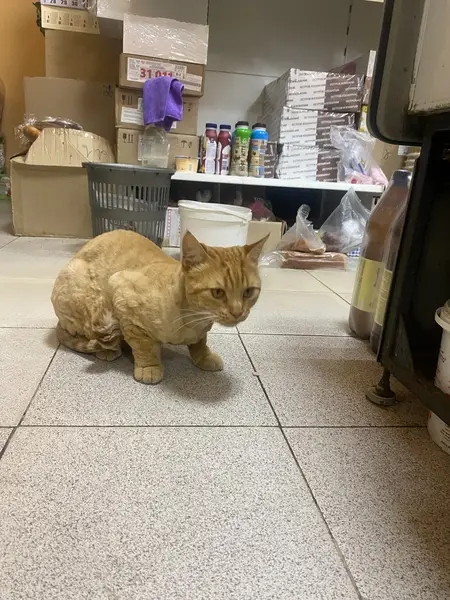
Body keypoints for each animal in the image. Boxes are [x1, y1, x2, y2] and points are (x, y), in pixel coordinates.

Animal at [51, 229, 267, 384]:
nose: (238, 312)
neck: (192, 321)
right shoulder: (122, 295)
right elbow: (144, 346)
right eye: (218, 292)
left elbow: (200, 342)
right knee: (94, 334)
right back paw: (109, 349)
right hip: (92, 300)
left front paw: (203, 356)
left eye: (248, 292)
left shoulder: (201, 330)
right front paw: (149, 366)